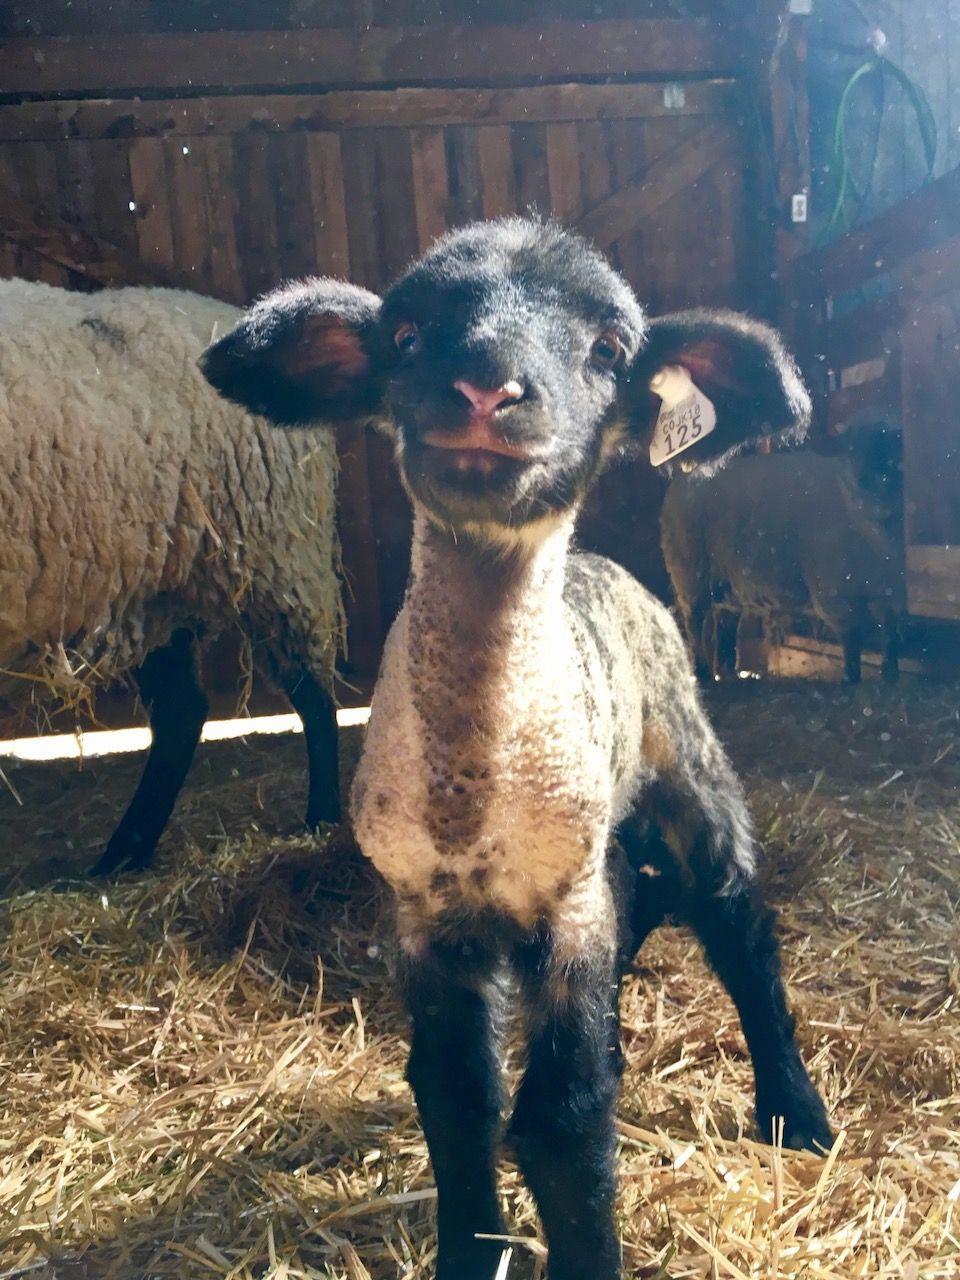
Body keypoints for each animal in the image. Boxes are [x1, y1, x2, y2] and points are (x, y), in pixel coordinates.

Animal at [0, 278, 342, 874]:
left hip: (276, 558)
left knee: (314, 697)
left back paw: (321, 821)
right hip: (159, 589)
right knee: (182, 712)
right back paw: (122, 857)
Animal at [202, 218, 831, 1280]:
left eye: (611, 350)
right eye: (406, 334)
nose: (486, 390)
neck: (476, 794)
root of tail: (604, 564)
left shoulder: (566, 904)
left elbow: (566, 1122)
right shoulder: (427, 915)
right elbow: (458, 1102)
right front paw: (471, 1250)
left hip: (685, 762)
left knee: (738, 923)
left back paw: (797, 1113)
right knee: (643, 906)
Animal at [660, 426, 905, 684]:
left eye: (895, 452)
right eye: (852, 453)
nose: (871, 489)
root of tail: (681, 481)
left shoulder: (891, 591)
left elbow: (890, 633)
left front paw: (891, 675)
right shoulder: (832, 592)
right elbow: (851, 636)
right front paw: (850, 678)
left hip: (727, 582)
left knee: (726, 623)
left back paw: (728, 674)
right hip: (690, 574)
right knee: (695, 622)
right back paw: (702, 672)